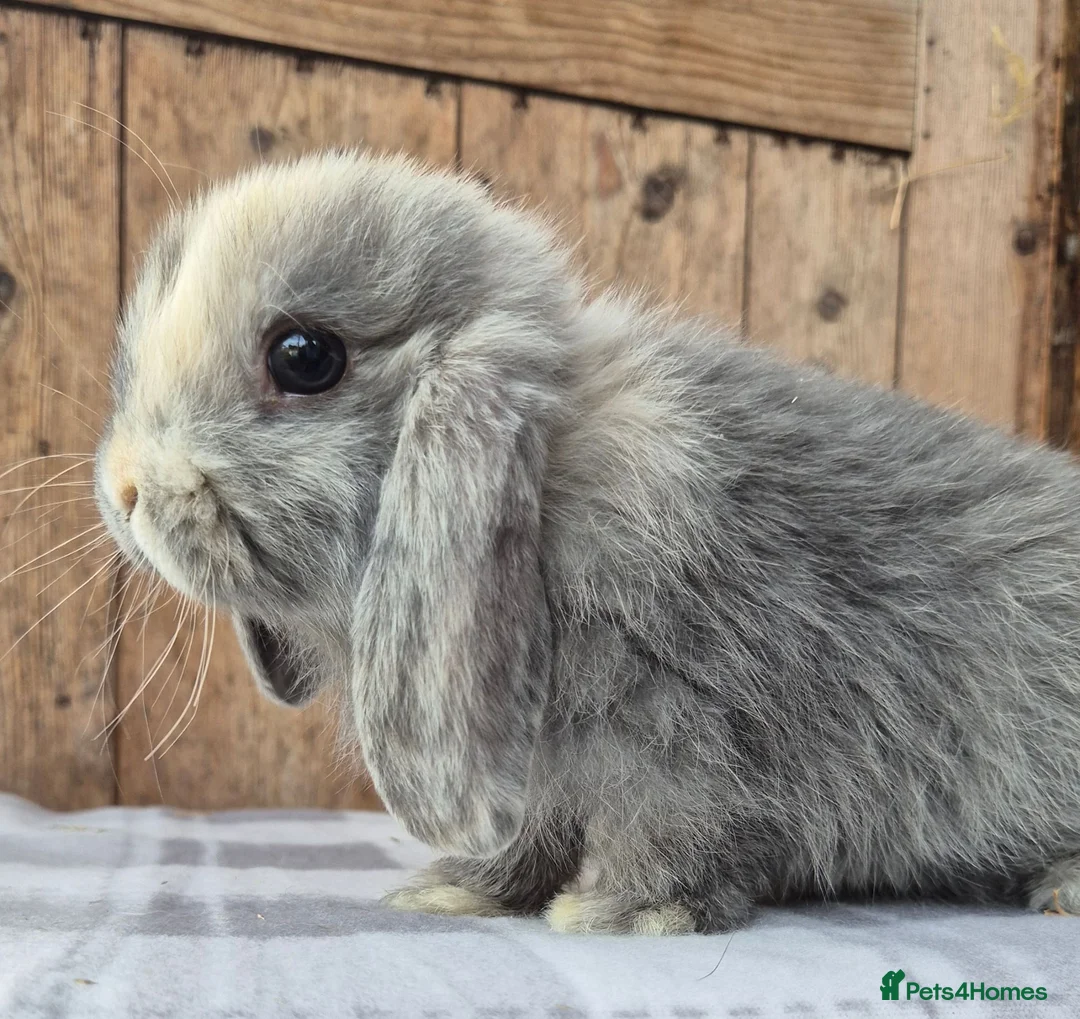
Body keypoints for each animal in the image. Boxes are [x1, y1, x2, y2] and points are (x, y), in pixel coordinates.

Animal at [94, 148, 1080, 935]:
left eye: (304, 356)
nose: (124, 488)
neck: (552, 486)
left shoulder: (673, 727)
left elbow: (669, 823)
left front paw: (620, 914)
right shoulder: (526, 760)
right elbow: (523, 837)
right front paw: (458, 891)